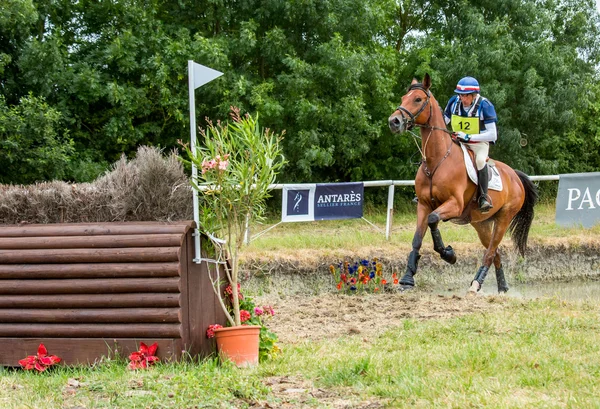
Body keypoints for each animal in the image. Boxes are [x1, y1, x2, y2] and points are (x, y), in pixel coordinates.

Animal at [390, 72, 540, 290]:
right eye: (403, 98)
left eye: (417, 99)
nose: (394, 121)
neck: (437, 161)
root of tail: (515, 175)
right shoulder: (424, 205)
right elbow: (417, 239)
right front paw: (408, 278)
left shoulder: (454, 204)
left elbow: (433, 220)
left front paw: (448, 254)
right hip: (481, 224)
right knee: (495, 252)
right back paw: (502, 287)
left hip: (503, 218)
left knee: (490, 252)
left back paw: (476, 284)